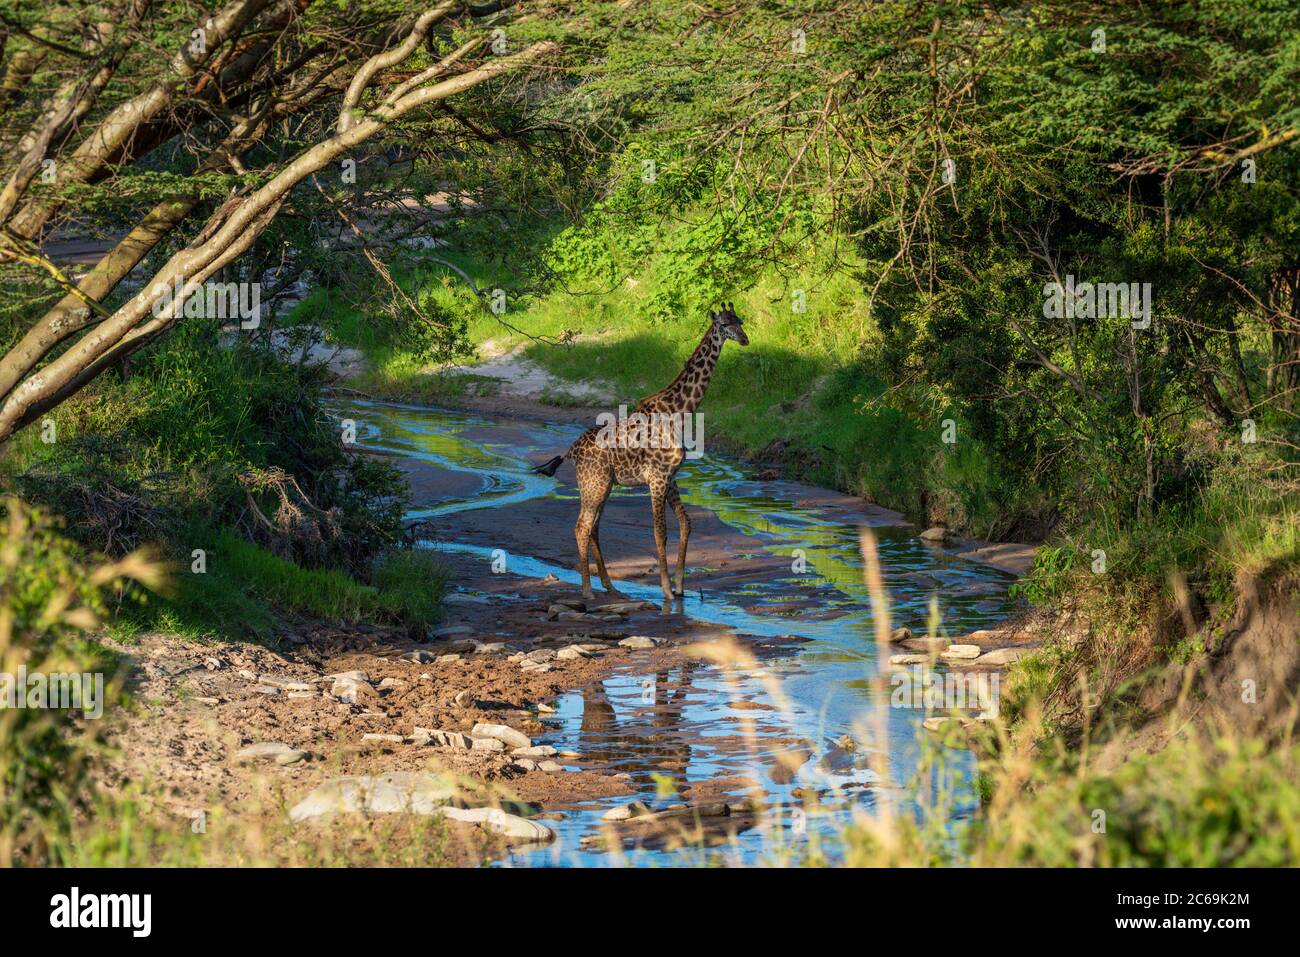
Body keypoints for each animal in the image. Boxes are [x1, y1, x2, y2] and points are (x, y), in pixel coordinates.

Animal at [530, 300, 754, 598]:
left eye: (740, 320)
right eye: (725, 324)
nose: (744, 339)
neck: (680, 411)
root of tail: (571, 450)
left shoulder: (671, 477)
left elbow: (686, 524)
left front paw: (680, 585)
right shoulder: (657, 478)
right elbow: (660, 533)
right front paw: (667, 590)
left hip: (604, 484)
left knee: (594, 527)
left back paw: (609, 585)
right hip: (593, 483)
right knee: (582, 527)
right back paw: (587, 591)